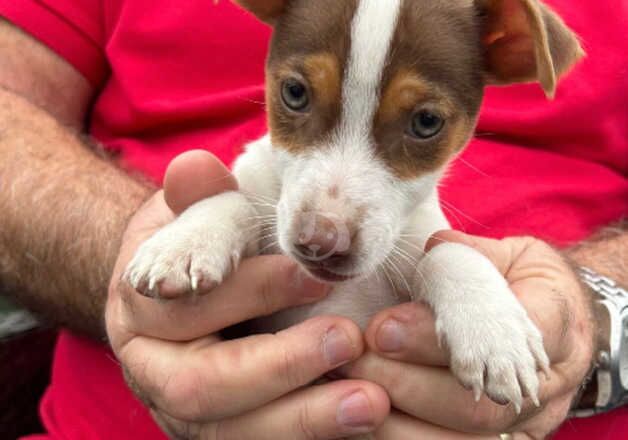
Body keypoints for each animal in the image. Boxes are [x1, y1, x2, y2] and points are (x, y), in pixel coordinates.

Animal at [122, 0, 584, 412]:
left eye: (427, 122)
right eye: (294, 92)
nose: (320, 242)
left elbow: (447, 250)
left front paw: (495, 330)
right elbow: (240, 200)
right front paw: (185, 242)